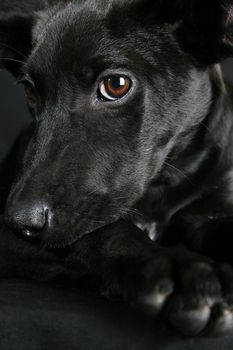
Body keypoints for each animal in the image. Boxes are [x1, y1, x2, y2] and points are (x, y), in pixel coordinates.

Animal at [1, 0, 233, 338]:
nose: (20, 222)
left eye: (116, 85)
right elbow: (104, 231)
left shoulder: (210, 209)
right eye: (31, 92)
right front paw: (178, 269)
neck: (160, 188)